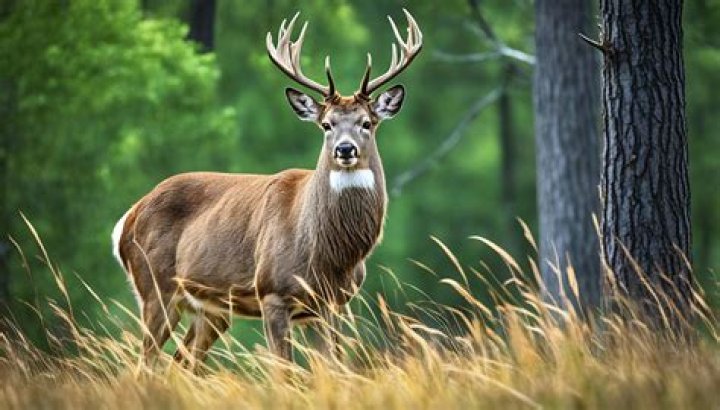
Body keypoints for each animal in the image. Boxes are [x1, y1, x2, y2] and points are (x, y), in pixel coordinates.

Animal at [111, 10, 422, 368]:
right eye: (326, 124)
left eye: (366, 123)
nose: (345, 149)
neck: (329, 255)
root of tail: (128, 216)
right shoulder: (273, 292)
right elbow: (284, 371)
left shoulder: (332, 305)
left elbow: (332, 368)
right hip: (155, 286)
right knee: (142, 365)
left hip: (212, 310)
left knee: (180, 364)